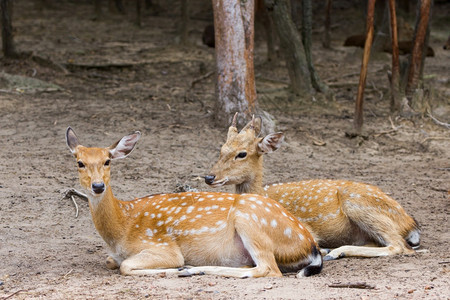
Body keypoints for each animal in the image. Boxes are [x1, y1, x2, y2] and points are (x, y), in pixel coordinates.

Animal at [65, 127, 322, 278]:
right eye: (80, 163)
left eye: (107, 161)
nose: (98, 186)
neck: (121, 228)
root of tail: (310, 244)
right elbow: (111, 261)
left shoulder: (163, 246)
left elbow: (125, 266)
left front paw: (176, 268)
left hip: (250, 221)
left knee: (269, 269)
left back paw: (190, 269)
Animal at [206, 115, 420, 260]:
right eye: (221, 149)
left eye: (242, 154)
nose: (209, 176)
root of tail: (409, 222)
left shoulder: (305, 227)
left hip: (359, 204)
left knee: (399, 246)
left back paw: (336, 252)